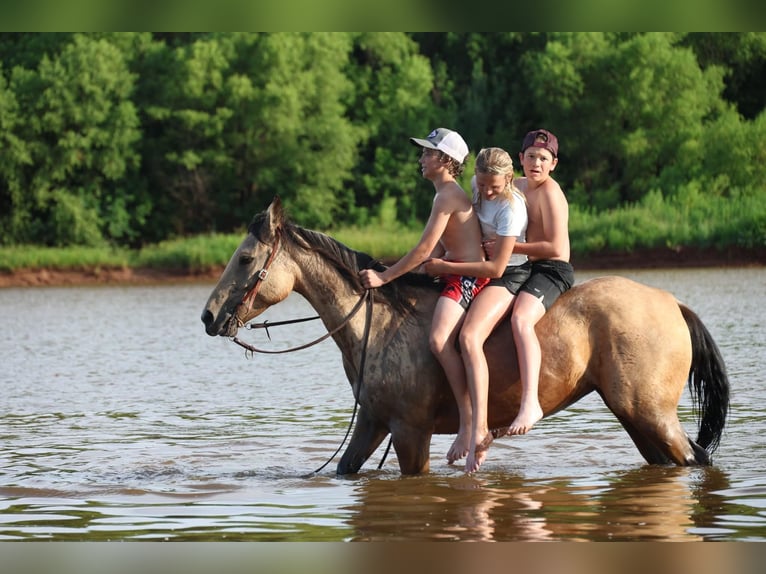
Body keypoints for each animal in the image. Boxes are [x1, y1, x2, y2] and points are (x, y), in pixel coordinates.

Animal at [201, 196, 730, 475]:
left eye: (245, 259)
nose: (208, 316)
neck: (377, 325)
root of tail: (669, 302)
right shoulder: (372, 423)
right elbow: (345, 467)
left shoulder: (409, 432)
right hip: (636, 417)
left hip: (649, 414)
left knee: (695, 458)